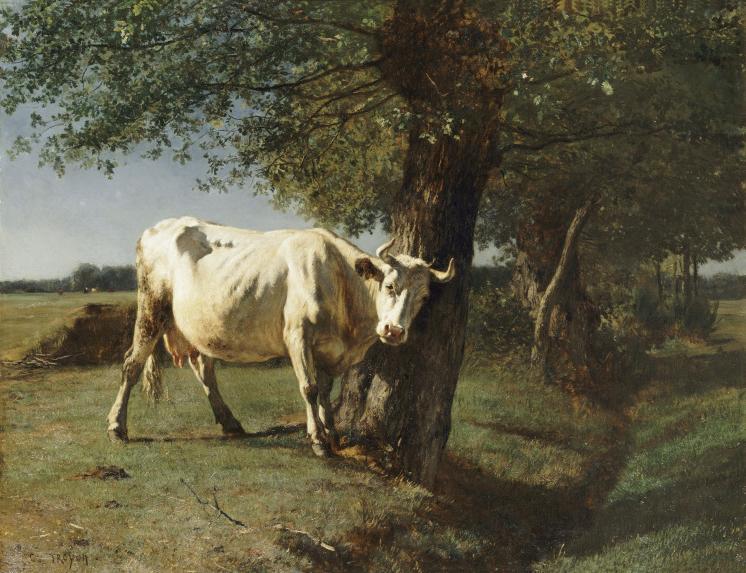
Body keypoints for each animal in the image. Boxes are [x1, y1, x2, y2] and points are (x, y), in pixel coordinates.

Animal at [106, 217, 455, 456]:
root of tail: (160, 226)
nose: (394, 331)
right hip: (152, 305)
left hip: (198, 327)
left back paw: (230, 422)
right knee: (132, 363)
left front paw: (332, 433)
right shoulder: (297, 335)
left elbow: (326, 390)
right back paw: (117, 427)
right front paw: (318, 441)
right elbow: (310, 388)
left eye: (424, 297)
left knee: (204, 369)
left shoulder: (331, 350)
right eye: (390, 286)